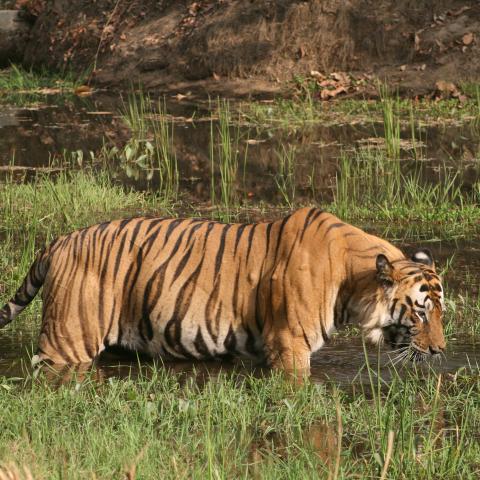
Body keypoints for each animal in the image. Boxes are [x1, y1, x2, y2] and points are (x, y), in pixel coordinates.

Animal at [0, 207, 446, 376]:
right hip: (67, 340)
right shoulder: (290, 345)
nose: (441, 351)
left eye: (441, 312)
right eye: (421, 312)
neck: (353, 283)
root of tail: (59, 242)